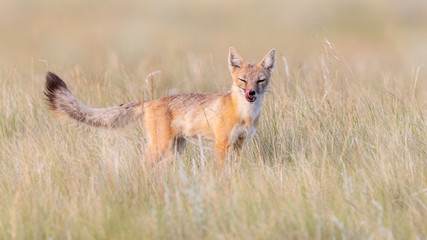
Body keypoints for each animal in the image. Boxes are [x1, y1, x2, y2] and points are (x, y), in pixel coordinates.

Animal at [44, 47, 278, 166]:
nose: (251, 93)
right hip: (160, 147)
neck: (245, 115)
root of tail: (150, 101)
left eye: (260, 81)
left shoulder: (239, 145)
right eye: (242, 80)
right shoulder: (221, 145)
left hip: (176, 149)